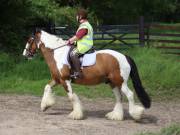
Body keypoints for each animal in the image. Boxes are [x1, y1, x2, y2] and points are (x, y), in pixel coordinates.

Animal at [22, 30, 150, 120]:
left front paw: (76, 114)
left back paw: (136, 114)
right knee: (119, 98)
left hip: (121, 82)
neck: (57, 53)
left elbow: (71, 96)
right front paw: (45, 106)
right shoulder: (57, 79)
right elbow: (47, 87)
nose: (25, 54)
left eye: (29, 40)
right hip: (112, 83)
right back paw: (115, 116)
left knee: (130, 95)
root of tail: (124, 56)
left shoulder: (65, 80)